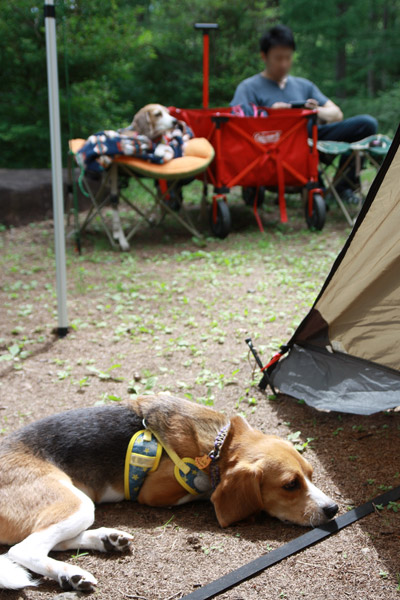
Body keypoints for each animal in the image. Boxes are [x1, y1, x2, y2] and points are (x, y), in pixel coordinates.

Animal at [0, 394, 338, 592]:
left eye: (311, 475)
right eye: (290, 485)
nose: (333, 509)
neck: (219, 445)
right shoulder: (157, 492)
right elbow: (204, 490)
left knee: (46, 542)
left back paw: (104, 543)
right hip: (76, 502)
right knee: (23, 550)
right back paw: (71, 572)